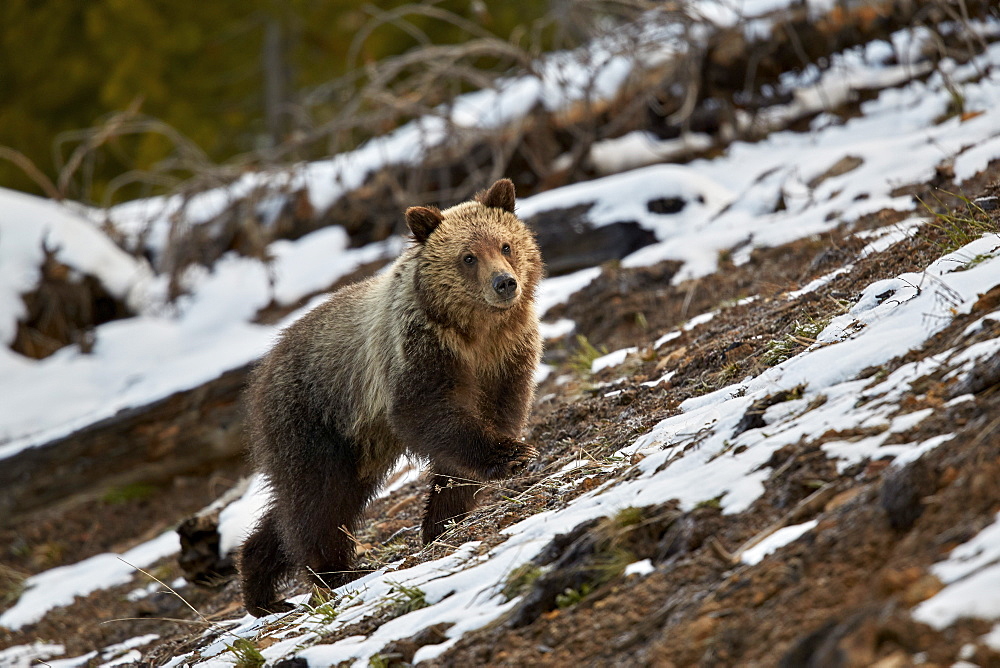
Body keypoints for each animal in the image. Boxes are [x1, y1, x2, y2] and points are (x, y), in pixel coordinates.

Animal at [239, 177, 544, 616]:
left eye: (505, 245)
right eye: (468, 257)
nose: (504, 283)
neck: (475, 334)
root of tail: (263, 367)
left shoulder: (507, 357)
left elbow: (493, 421)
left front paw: (443, 517)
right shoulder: (418, 354)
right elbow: (430, 414)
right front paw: (512, 455)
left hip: (356, 447)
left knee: (297, 509)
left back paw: (261, 590)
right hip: (312, 416)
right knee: (316, 501)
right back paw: (334, 572)